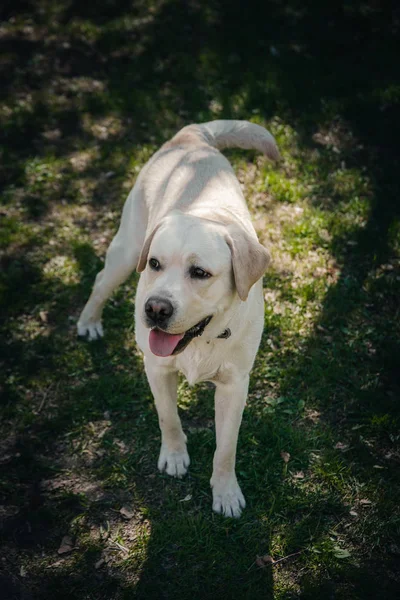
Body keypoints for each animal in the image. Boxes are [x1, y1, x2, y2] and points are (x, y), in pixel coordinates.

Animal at [77, 120, 278, 516]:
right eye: (155, 264)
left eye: (200, 273)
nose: (154, 308)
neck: (202, 338)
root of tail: (193, 135)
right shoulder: (156, 368)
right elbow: (167, 416)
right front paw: (174, 455)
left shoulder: (235, 386)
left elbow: (226, 448)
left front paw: (225, 492)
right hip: (126, 251)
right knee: (101, 281)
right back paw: (89, 321)